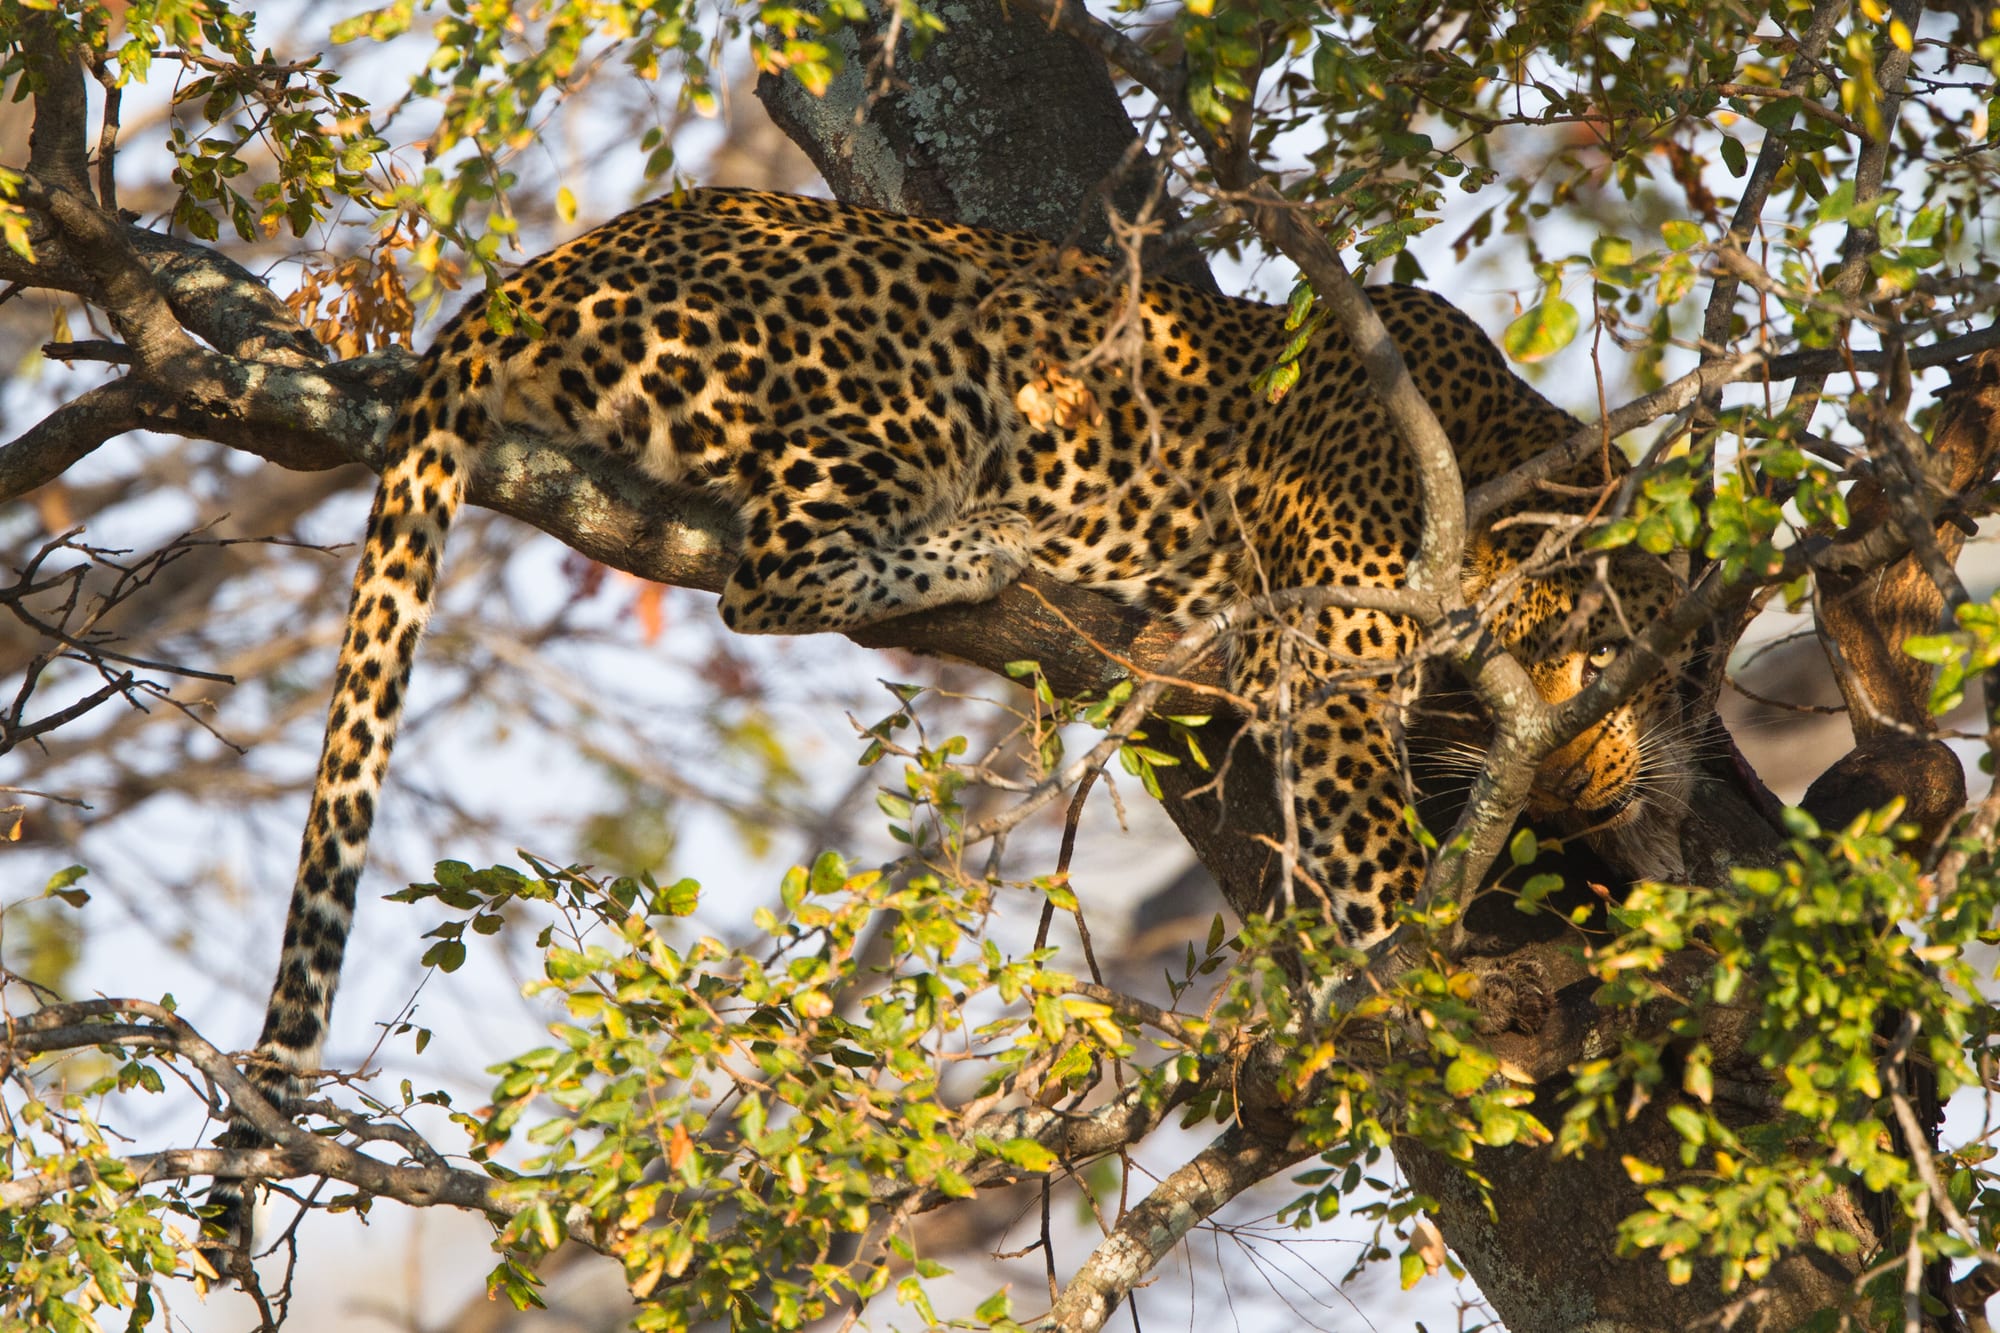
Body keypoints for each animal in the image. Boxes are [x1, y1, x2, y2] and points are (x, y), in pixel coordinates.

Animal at [209, 187, 1693, 1258]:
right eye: (1550, 654)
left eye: (1631, 663)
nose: (1583, 781)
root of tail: (539, 272)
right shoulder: (1326, 660)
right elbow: (1386, 872)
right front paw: (1447, 997)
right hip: (919, 365)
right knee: (774, 573)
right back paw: (986, 542)